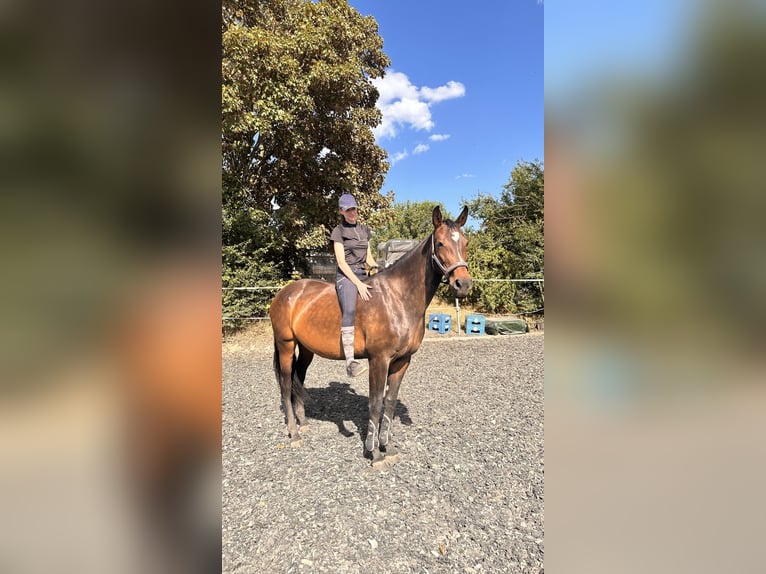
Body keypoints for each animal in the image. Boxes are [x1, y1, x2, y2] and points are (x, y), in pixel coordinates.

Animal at [269, 205, 472, 468]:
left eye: (465, 242)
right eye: (440, 243)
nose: (462, 284)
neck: (398, 298)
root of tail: (285, 293)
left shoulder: (402, 362)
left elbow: (390, 402)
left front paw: (388, 446)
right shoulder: (379, 360)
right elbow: (375, 404)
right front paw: (374, 453)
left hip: (306, 349)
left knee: (299, 378)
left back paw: (303, 423)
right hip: (286, 345)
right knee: (285, 384)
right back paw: (294, 434)